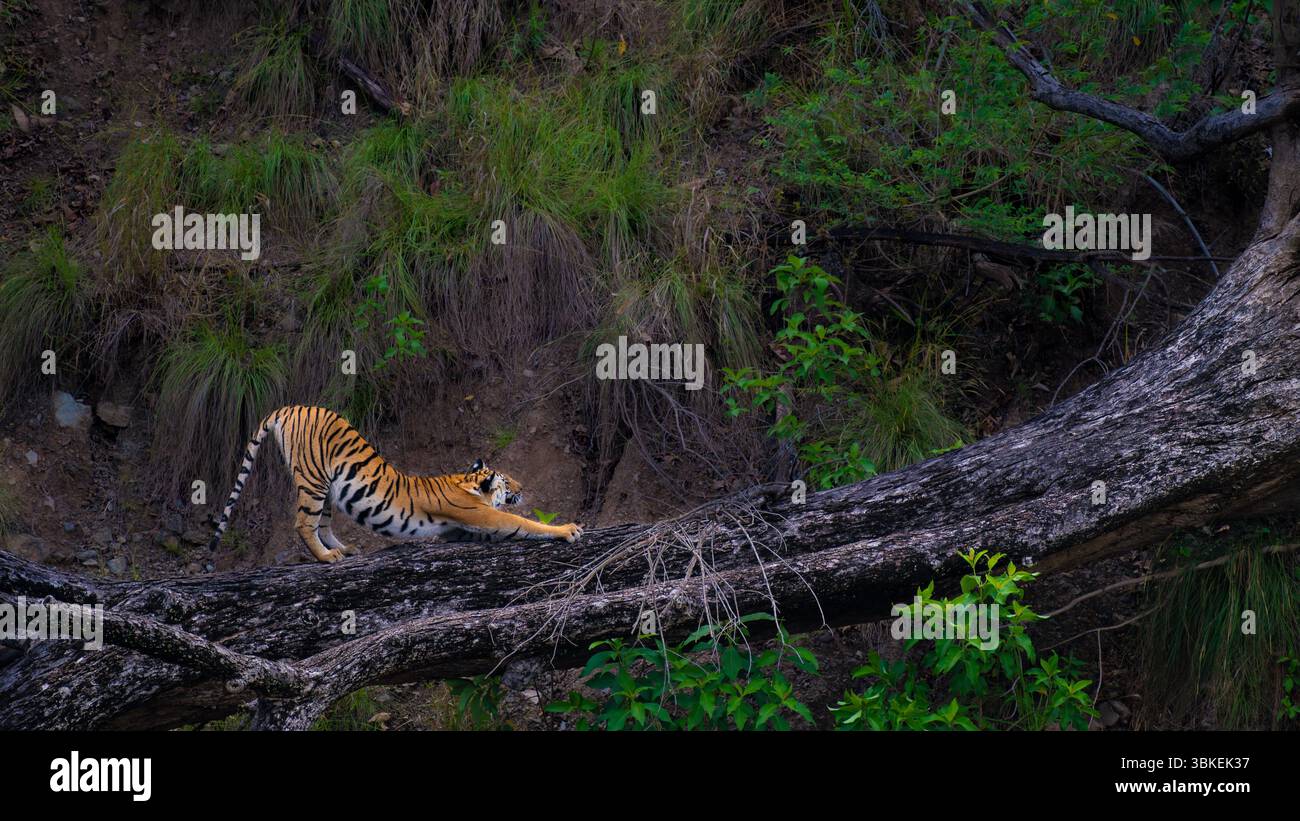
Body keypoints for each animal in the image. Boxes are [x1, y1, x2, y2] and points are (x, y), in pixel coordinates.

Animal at [207, 405, 583, 563]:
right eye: (507, 480)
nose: (522, 487)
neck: (466, 482)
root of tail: (290, 407)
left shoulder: (459, 529)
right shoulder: (484, 517)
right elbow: (524, 524)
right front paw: (568, 529)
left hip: (328, 488)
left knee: (323, 523)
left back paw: (344, 549)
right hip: (312, 480)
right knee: (303, 522)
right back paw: (327, 558)